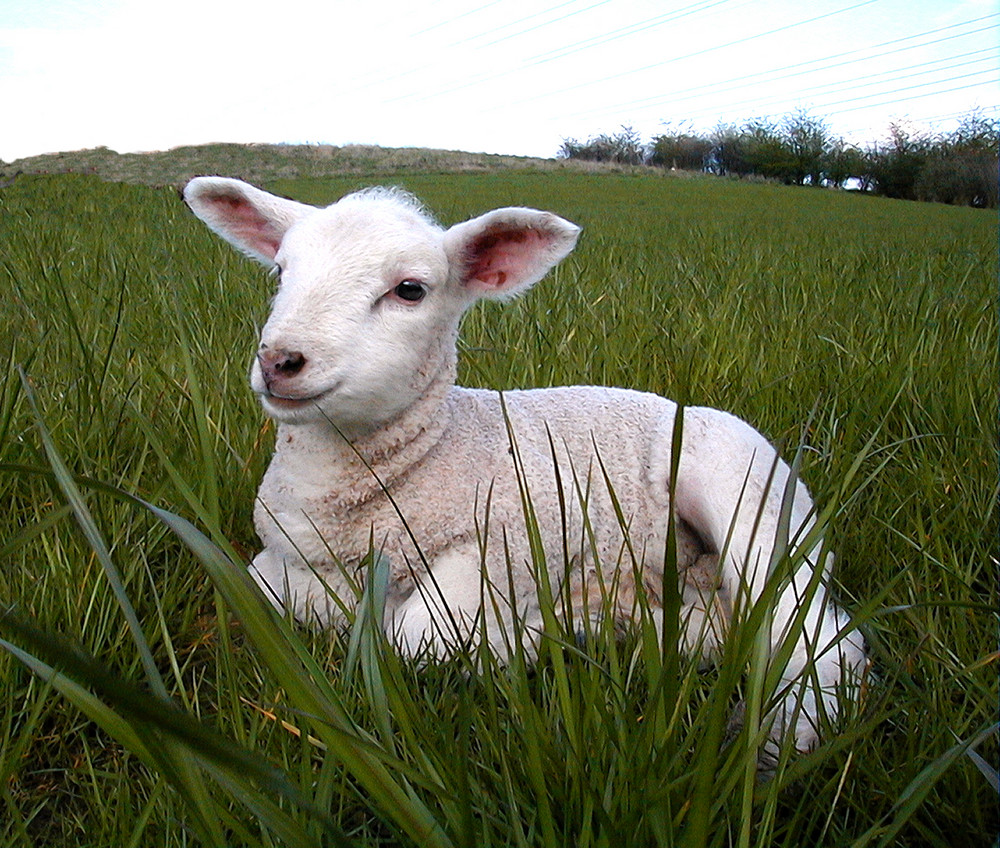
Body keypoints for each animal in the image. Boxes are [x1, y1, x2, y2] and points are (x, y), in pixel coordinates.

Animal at [182, 177, 868, 756]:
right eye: (280, 270)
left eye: (410, 290)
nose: (280, 360)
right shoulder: (282, 554)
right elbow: (265, 588)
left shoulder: (497, 545)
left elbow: (415, 639)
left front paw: (514, 639)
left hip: (753, 503)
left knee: (816, 635)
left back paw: (782, 737)